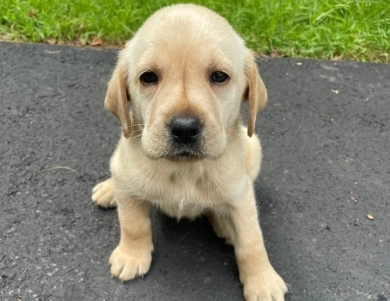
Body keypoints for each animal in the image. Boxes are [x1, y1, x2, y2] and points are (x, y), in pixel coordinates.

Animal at [90, 3, 286, 298]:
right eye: (148, 77)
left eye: (219, 76)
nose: (184, 128)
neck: (183, 168)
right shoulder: (129, 187)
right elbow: (133, 224)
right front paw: (131, 256)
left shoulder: (241, 196)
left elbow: (252, 241)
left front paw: (263, 282)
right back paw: (108, 189)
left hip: (254, 147)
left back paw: (224, 224)